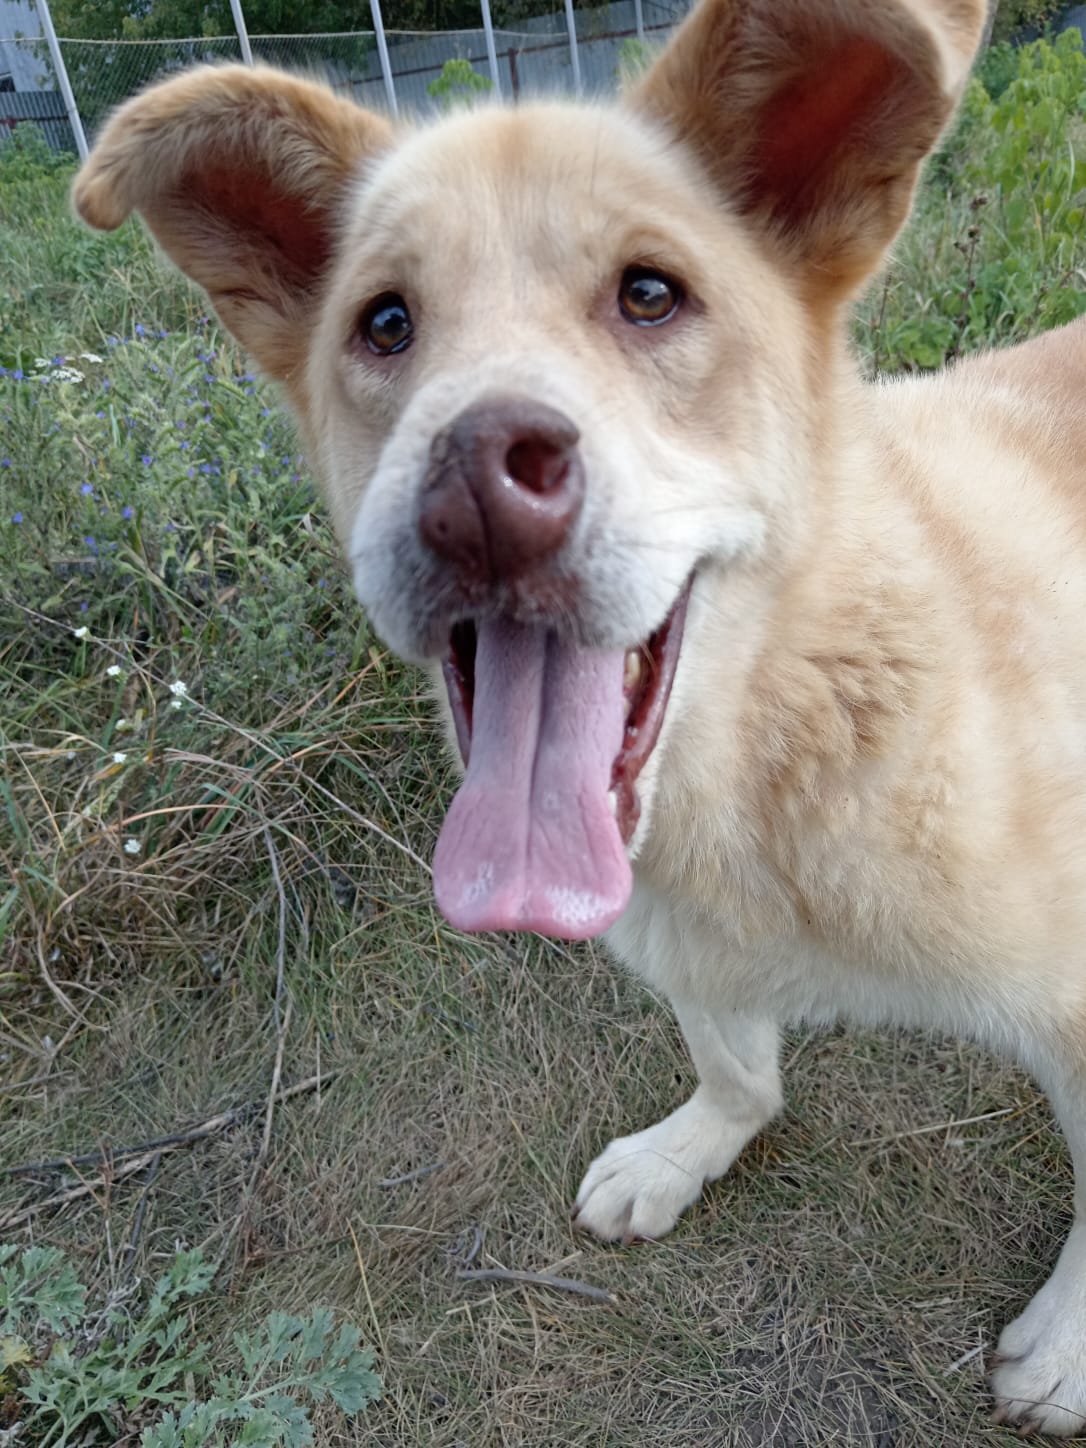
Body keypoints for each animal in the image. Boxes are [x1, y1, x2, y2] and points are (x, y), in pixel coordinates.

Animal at [74, 0, 1086, 1432]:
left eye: (650, 294)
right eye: (386, 323)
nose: (475, 485)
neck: (767, 751)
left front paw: (1068, 1342)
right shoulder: (687, 948)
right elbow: (740, 1068)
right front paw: (686, 1152)